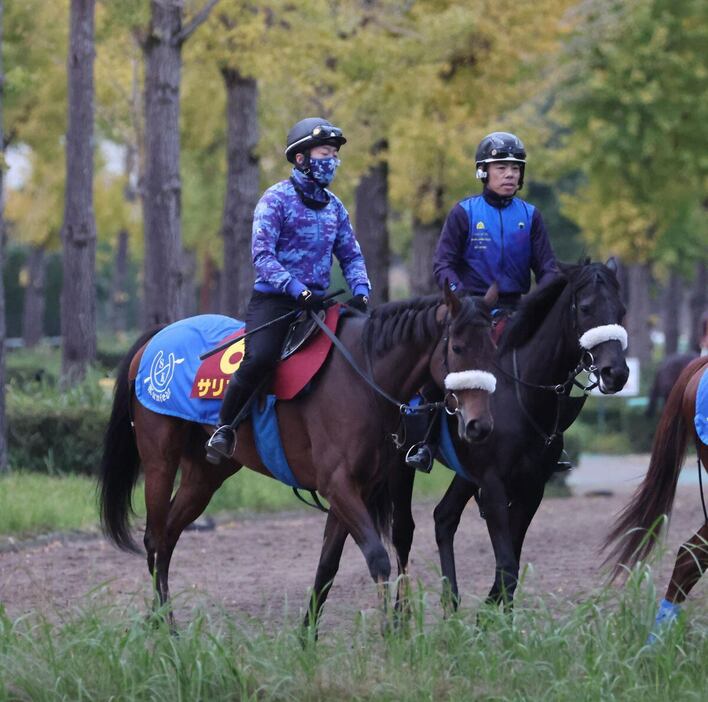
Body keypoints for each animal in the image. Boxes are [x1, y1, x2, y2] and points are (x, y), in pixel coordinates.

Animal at [98, 288, 498, 628]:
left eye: (493, 346)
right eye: (458, 347)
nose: (479, 425)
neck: (361, 375)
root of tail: (156, 339)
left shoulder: (355, 490)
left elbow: (328, 566)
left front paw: (307, 638)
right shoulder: (339, 485)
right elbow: (377, 557)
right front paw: (390, 632)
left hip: (204, 476)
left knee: (168, 536)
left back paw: (161, 620)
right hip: (160, 461)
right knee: (154, 537)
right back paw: (164, 626)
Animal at [388, 262, 632, 612]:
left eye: (621, 310)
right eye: (586, 308)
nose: (617, 373)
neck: (520, 391)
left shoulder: (531, 488)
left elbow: (511, 565)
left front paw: (494, 616)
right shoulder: (492, 485)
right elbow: (506, 564)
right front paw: (489, 616)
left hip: (465, 475)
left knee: (444, 518)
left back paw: (451, 603)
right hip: (398, 464)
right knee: (403, 531)